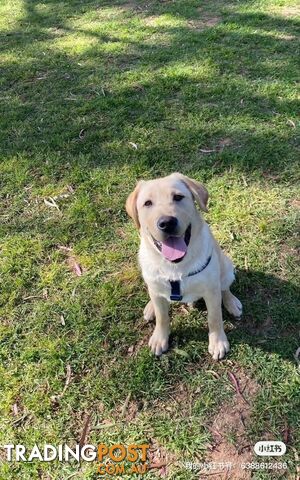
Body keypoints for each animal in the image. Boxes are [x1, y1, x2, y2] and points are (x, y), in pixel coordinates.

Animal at [125, 172, 243, 360]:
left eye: (178, 197)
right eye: (147, 203)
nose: (167, 222)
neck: (175, 265)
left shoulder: (211, 291)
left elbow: (215, 317)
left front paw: (217, 342)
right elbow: (162, 317)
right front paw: (160, 338)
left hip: (226, 268)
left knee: (224, 288)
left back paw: (231, 302)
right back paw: (151, 307)